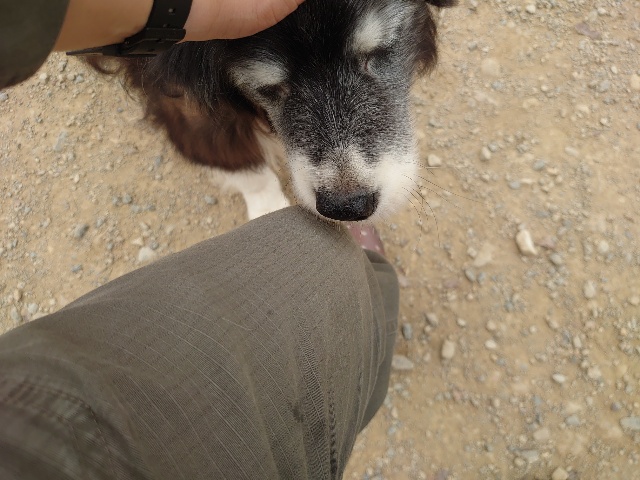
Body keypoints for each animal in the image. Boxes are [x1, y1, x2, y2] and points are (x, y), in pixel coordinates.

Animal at [88, 0, 455, 221]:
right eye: (271, 87)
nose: (347, 207)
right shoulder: (181, 98)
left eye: (376, 54)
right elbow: (238, 162)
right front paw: (267, 208)